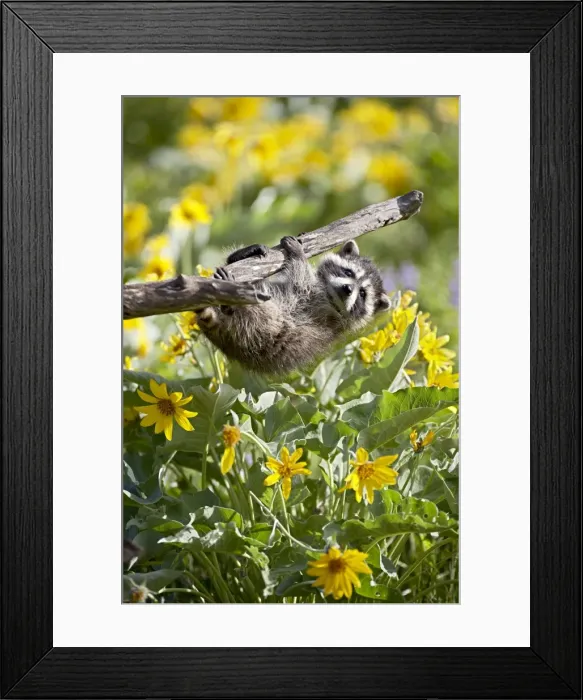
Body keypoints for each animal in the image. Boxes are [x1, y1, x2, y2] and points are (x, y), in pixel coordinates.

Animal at [196, 236, 390, 375]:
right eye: (348, 272)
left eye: (363, 293)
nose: (348, 288)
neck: (328, 293)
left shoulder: (318, 309)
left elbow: (301, 285)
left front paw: (299, 256)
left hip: (262, 328)